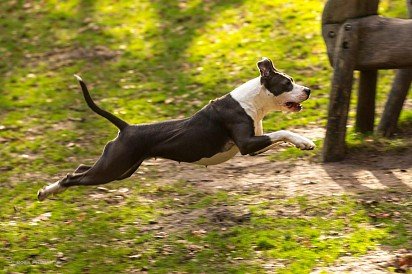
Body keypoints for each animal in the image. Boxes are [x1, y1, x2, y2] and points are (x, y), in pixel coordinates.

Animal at [37, 57, 316, 201]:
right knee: (74, 177)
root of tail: (126, 128)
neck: (252, 101)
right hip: (113, 168)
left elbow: (277, 135)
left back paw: (51, 190)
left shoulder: (254, 144)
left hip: (119, 168)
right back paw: (46, 191)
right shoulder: (246, 145)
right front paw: (304, 141)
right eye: (287, 83)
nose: (308, 90)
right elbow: (283, 132)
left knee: (80, 169)